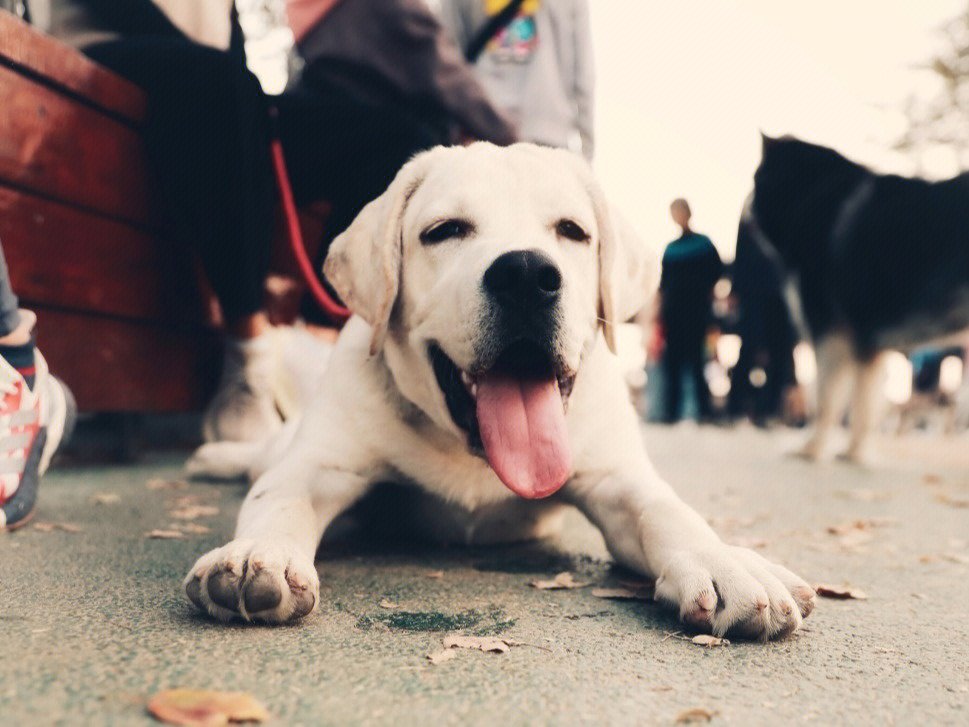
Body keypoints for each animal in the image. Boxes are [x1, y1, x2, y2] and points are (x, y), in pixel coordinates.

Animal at [183, 145, 816, 640]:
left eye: (572, 232)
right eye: (444, 231)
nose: (527, 275)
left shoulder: (617, 481)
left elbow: (668, 512)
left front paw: (725, 561)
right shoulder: (316, 468)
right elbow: (280, 501)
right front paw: (256, 554)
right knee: (261, 458)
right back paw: (214, 456)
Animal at [740, 135, 968, 460]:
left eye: (756, 177)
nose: (745, 209)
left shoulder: (831, 333)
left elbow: (827, 400)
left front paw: (811, 448)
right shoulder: (868, 345)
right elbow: (864, 406)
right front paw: (855, 454)